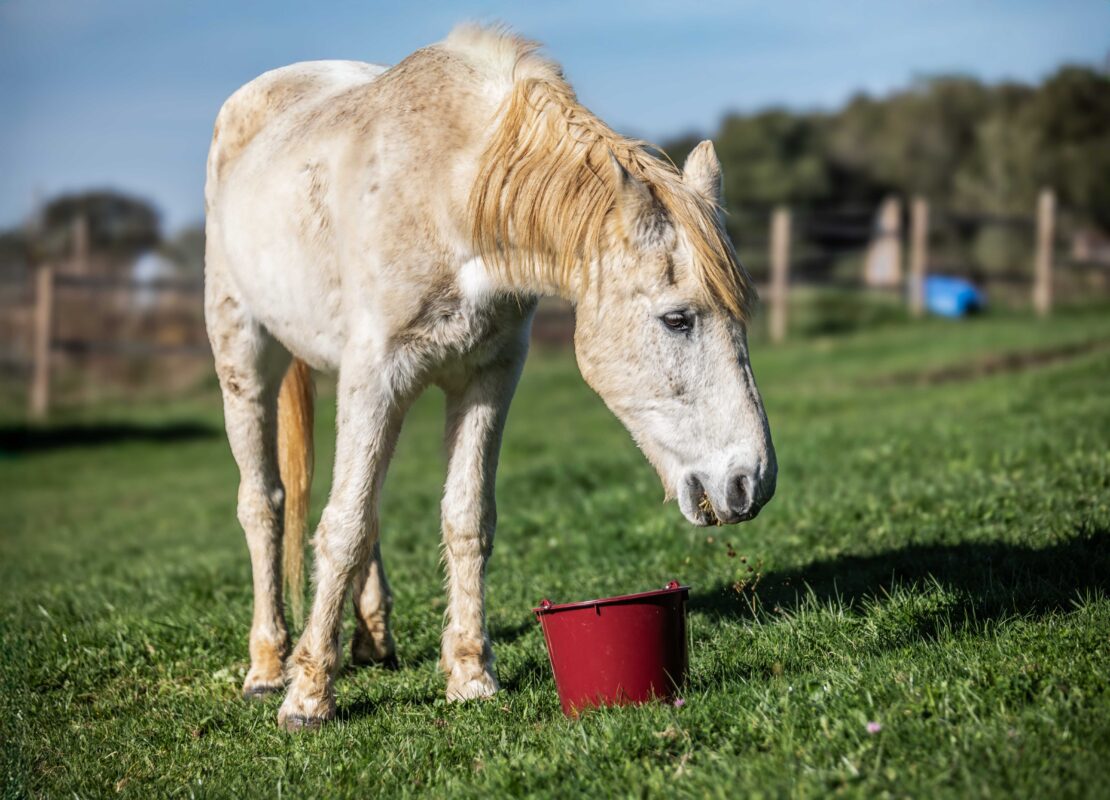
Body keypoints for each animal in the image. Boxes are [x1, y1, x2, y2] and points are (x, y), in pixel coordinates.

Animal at [204, 23, 776, 730]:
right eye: (677, 320)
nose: (751, 483)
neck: (448, 189)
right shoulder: (379, 374)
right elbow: (342, 526)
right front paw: (308, 696)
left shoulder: (487, 377)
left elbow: (464, 518)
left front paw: (471, 677)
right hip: (244, 358)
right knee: (265, 505)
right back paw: (266, 667)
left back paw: (371, 640)